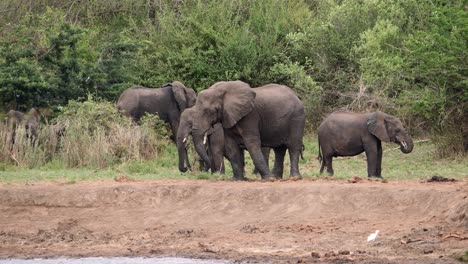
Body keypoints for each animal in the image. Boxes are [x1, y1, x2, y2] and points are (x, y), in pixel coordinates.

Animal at [177, 80, 306, 180]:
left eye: (208, 111)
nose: (187, 168)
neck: (221, 90)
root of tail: (296, 96)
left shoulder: (250, 116)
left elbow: (252, 144)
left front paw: (268, 179)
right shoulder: (227, 117)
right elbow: (231, 146)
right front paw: (237, 179)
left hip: (297, 118)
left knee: (293, 146)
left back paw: (293, 178)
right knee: (279, 149)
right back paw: (277, 177)